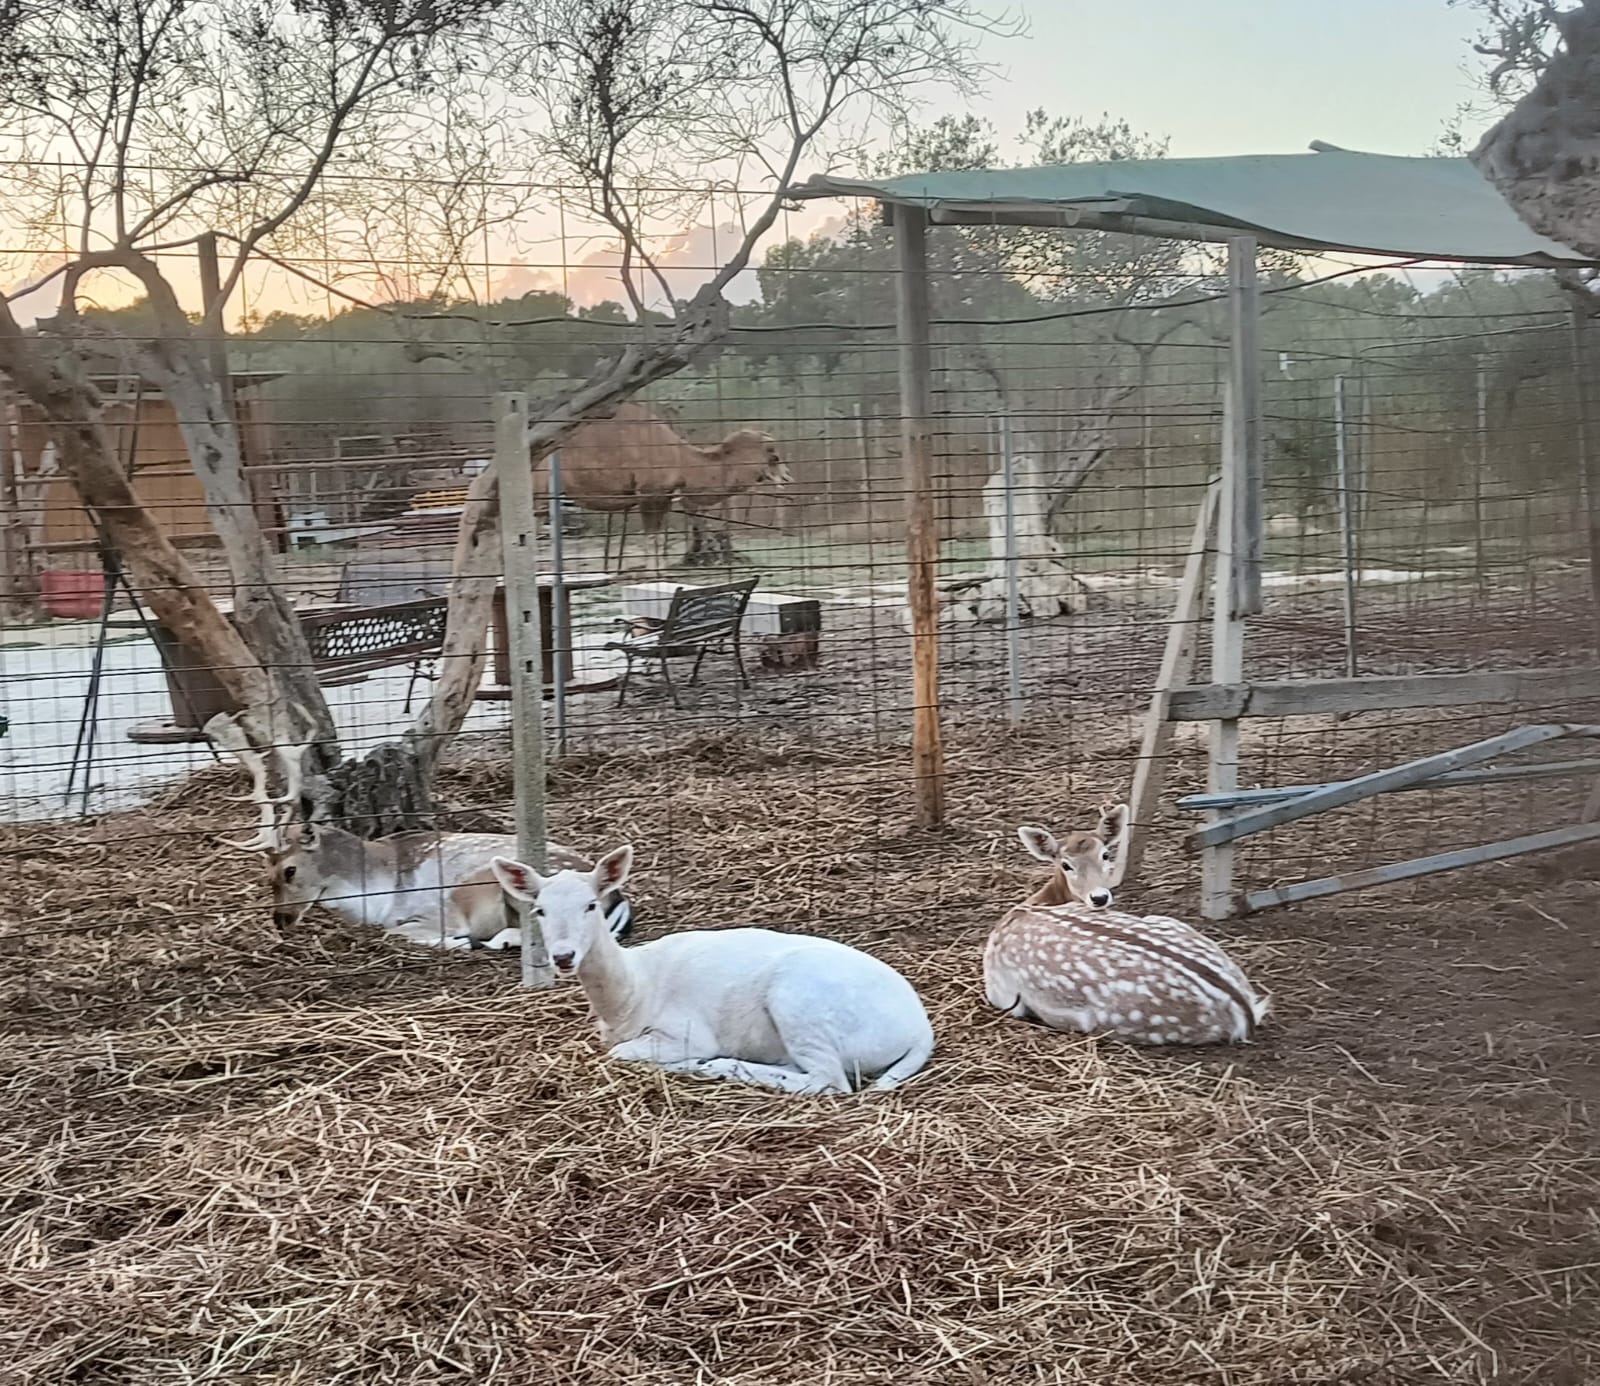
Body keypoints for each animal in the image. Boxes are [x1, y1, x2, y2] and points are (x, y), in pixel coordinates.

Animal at [268, 819, 630, 947]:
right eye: (266, 876)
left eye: (289, 870)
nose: (280, 920)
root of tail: (615, 897)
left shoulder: (440, 913)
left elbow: (396, 931)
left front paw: (459, 942)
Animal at [492, 845, 934, 1088]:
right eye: (539, 910)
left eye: (591, 905)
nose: (564, 957)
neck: (633, 995)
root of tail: (921, 1031)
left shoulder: (686, 1030)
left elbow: (620, 1053)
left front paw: (693, 1061)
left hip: (801, 1006)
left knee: (831, 1082)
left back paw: (717, 1066)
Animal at [534, 400, 790, 566]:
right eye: (774, 456)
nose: (788, 477)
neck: (682, 460)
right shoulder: (649, 495)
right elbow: (652, 543)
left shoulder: (664, 497)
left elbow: (656, 542)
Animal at [979, 803, 1267, 1043]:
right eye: (1066, 864)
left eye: (1106, 855)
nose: (1099, 897)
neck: (1029, 906)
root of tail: (1246, 1012)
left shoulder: (1002, 995)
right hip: (1168, 922)